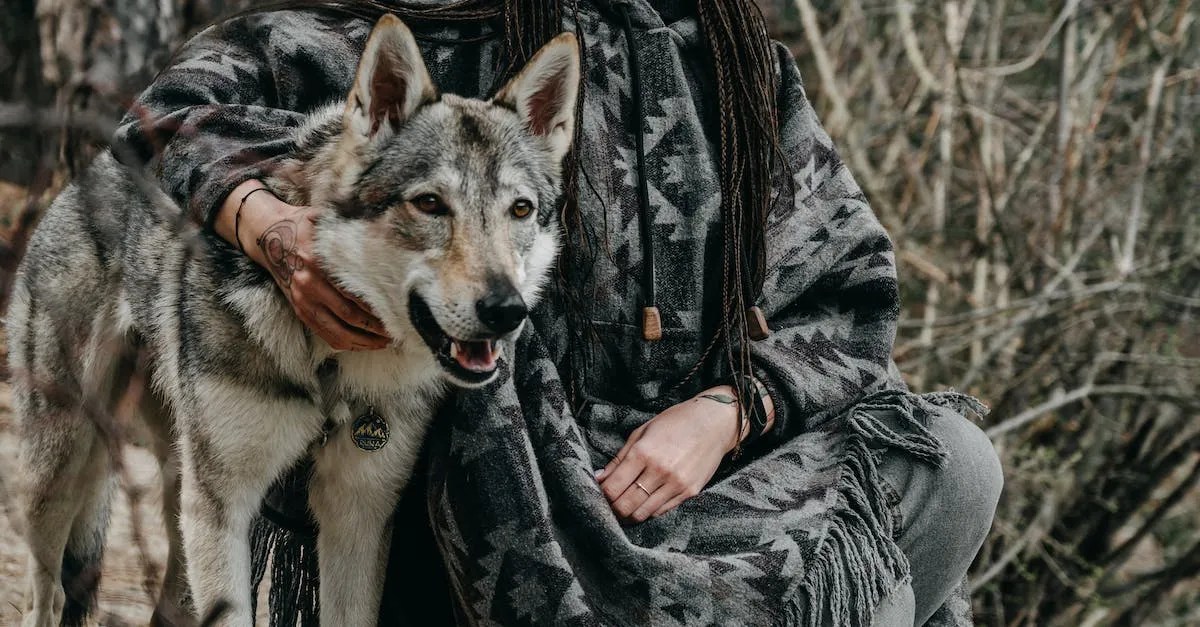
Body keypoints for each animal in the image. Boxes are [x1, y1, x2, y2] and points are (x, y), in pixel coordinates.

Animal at [9, 14, 579, 626]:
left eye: (519, 210)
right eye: (430, 204)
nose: (505, 311)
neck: (329, 360)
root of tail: (87, 170)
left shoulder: (358, 513)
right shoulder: (224, 506)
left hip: (178, 491)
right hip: (64, 469)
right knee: (47, 594)